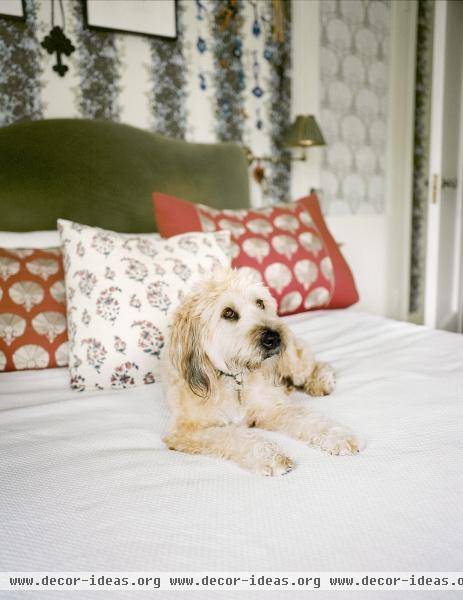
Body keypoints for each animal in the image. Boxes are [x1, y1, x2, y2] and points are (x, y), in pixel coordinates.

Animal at [165, 270, 364, 476]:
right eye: (228, 313)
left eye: (260, 303)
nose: (274, 338)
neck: (236, 379)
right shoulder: (186, 431)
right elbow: (234, 437)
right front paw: (270, 457)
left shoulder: (273, 408)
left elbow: (310, 420)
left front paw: (338, 436)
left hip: (294, 364)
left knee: (317, 364)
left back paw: (321, 381)